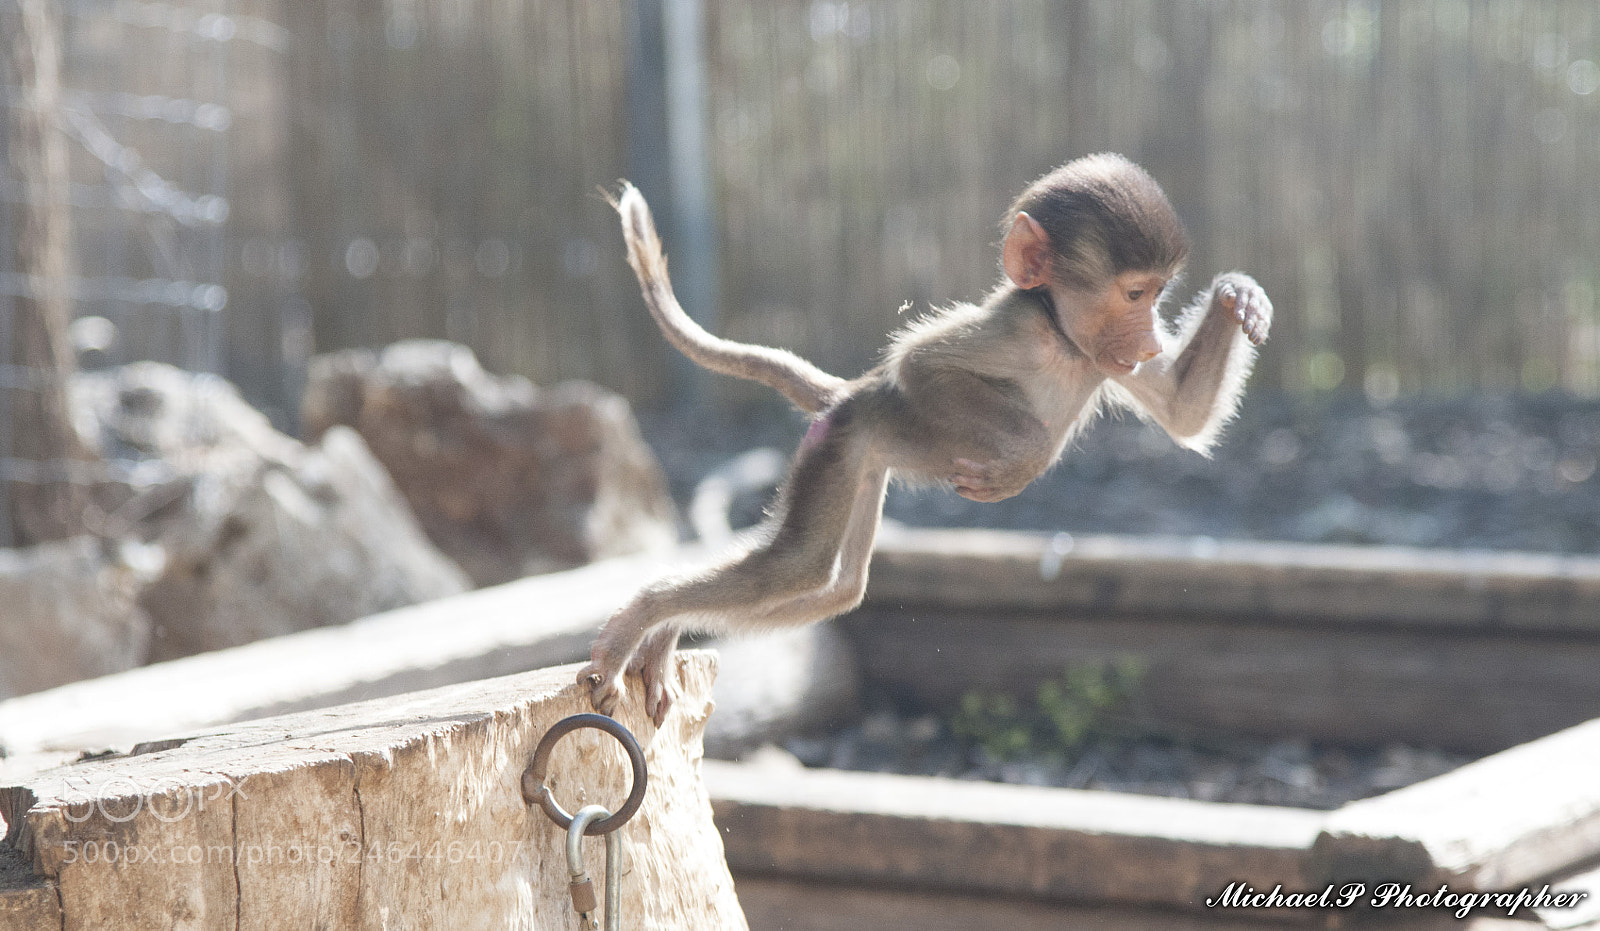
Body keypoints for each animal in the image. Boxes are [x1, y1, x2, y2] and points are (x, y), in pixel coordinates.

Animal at [582, 153, 1272, 725]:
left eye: (1157, 295)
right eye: (1133, 292)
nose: (1151, 338)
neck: (1060, 336)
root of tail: (849, 396)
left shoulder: (1105, 358)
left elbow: (1183, 415)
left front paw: (1240, 296)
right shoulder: (1017, 329)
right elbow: (919, 368)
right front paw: (1025, 459)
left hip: (861, 463)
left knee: (833, 587)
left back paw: (668, 634)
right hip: (842, 443)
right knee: (798, 565)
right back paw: (648, 617)